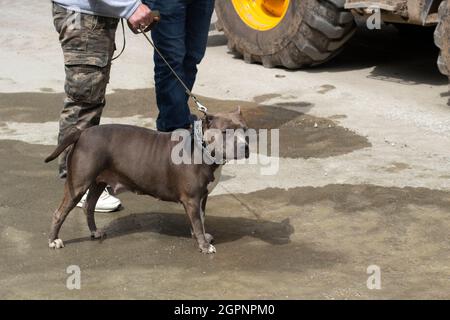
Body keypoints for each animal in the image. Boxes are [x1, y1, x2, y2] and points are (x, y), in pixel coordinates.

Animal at [44, 107, 250, 252]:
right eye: (225, 132)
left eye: (245, 130)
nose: (244, 147)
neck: (201, 148)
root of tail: (83, 133)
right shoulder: (192, 198)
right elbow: (198, 222)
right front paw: (205, 246)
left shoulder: (202, 197)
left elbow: (201, 218)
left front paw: (202, 238)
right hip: (79, 183)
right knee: (59, 212)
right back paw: (54, 240)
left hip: (98, 182)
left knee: (89, 206)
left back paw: (95, 232)